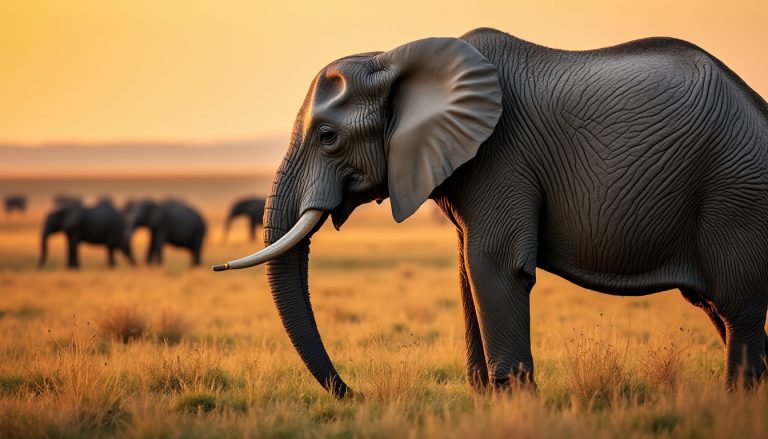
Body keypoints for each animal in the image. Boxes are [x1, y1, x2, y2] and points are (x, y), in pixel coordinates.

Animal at [215, 28, 768, 398]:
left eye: (328, 137)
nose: (356, 393)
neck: (395, 56)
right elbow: (467, 270)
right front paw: (483, 396)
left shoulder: (502, 155)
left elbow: (493, 265)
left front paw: (512, 398)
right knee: (717, 307)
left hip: (736, 190)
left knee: (735, 304)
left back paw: (735, 400)